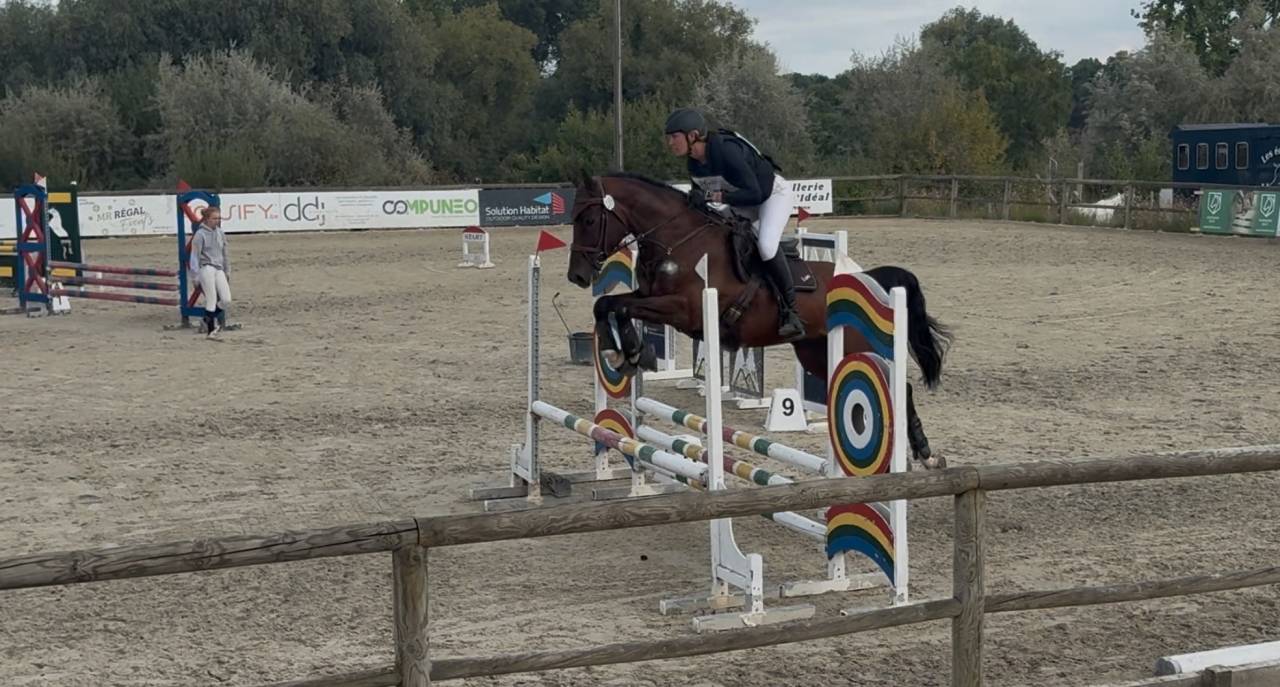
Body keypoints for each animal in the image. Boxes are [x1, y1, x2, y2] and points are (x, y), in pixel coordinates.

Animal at [566, 171, 953, 469]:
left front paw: (632, 352)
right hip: (814, 353)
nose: (577, 276)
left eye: (588, 220)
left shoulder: (682, 309)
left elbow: (620, 307)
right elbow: (608, 304)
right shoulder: (648, 297)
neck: (678, 239)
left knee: (899, 387)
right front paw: (623, 353)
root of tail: (868, 277)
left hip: (852, 348)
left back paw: (926, 454)